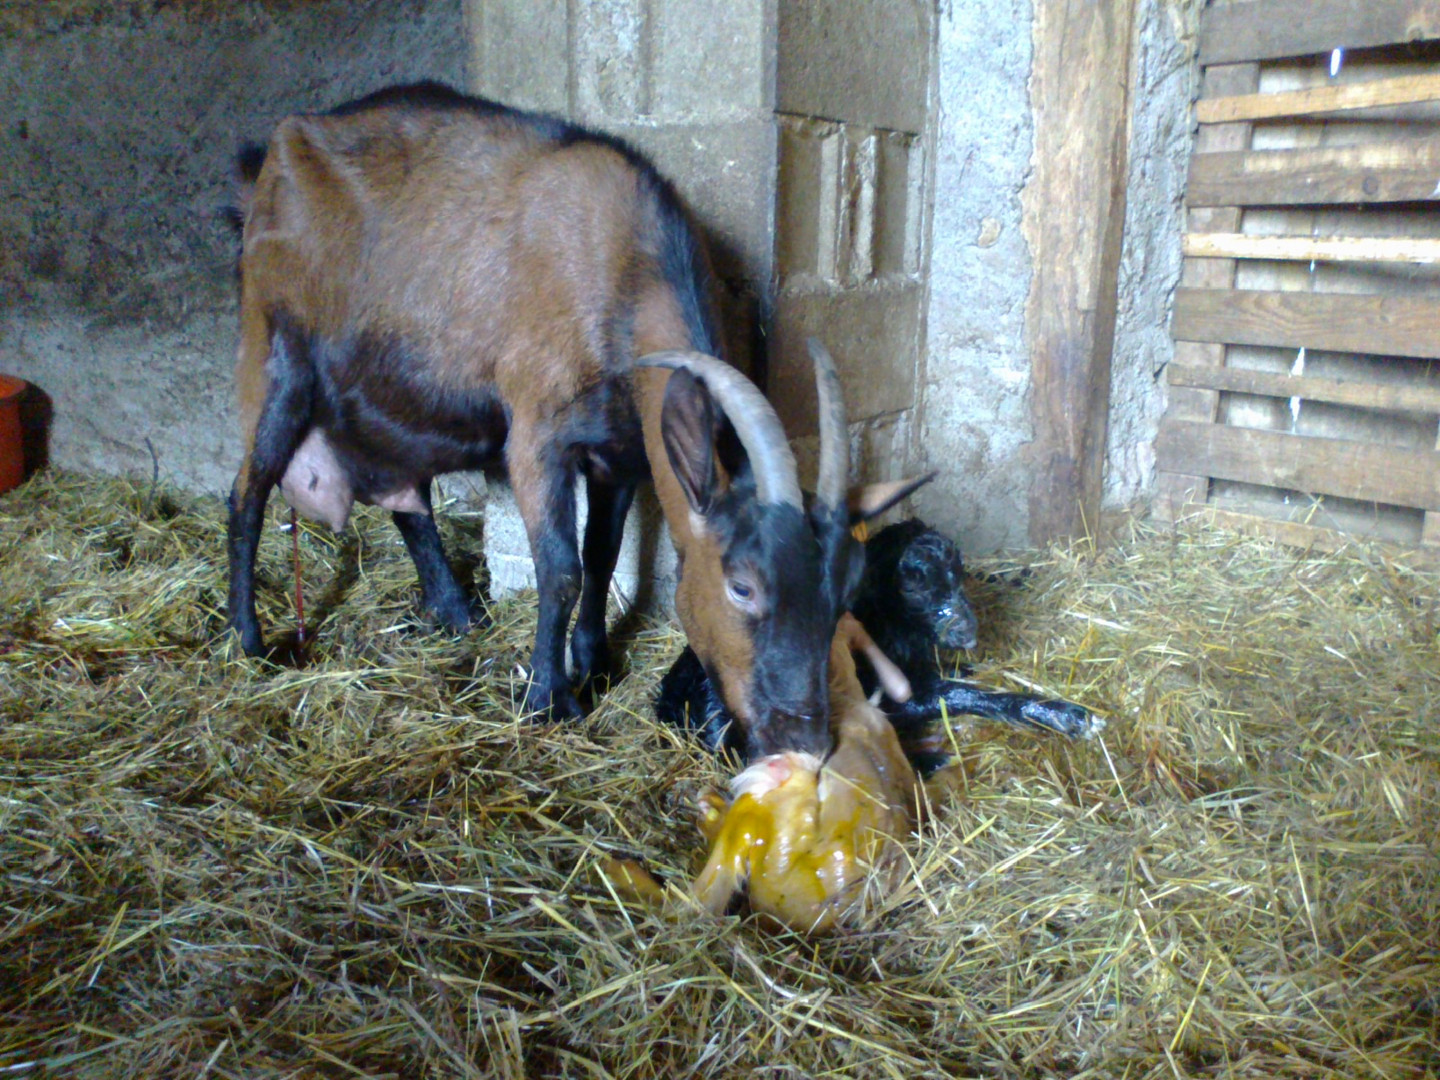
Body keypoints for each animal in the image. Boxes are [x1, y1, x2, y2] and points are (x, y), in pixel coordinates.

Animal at [228, 84, 915, 754]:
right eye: (742, 585)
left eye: (847, 591)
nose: (805, 740)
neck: (624, 270)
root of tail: (277, 146)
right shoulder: (537, 433)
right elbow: (560, 570)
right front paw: (550, 698)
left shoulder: (621, 452)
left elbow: (603, 556)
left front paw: (595, 663)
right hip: (275, 348)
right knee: (248, 492)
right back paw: (248, 639)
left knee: (407, 495)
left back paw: (455, 612)